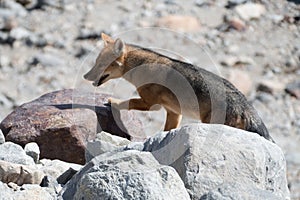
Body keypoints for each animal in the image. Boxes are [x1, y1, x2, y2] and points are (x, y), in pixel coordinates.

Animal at [84, 32, 274, 142]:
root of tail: (247, 106)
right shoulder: (174, 112)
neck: (142, 65)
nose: (85, 76)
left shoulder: (151, 105)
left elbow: (127, 102)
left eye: (100, 64)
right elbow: (167, 130)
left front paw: (112, 101)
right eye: (95, 63)